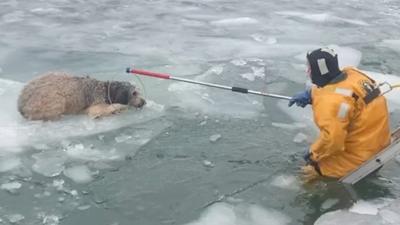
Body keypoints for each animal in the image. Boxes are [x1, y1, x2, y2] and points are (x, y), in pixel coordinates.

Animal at [17, 72, 145, 121]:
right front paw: (118, 108)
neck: (107, 89)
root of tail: (20, 104)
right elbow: (97, 111)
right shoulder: (97, 103)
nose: (144, 102)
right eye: (134, 93)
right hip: (49, 101)